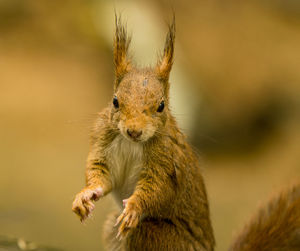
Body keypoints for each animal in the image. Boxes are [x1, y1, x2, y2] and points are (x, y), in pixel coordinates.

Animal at [71, 14, 298, 250]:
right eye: (115, 101)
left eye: (161, 106)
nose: (134, 131)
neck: (131, 144)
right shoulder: (103, 141)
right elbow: (101, 175)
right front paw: (85, 195)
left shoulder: (166, 161)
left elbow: (156, 189)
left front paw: (134, 207)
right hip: (111, 229)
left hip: (155, 236)